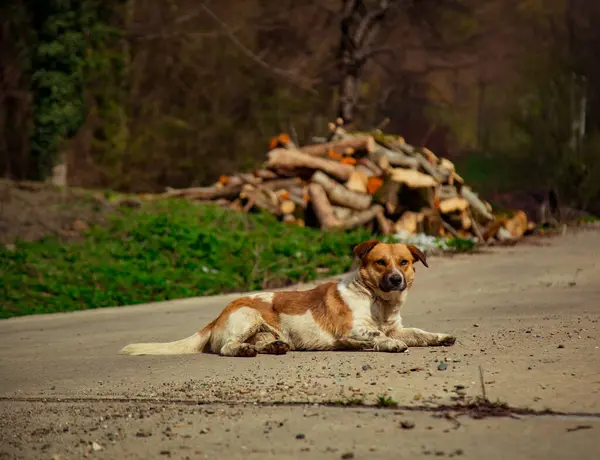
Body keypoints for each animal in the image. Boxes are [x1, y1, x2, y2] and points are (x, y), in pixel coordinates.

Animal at [119, 239, 458, 358]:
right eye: (380, 263)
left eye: (404, 262)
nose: (396, 279)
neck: (379, 302)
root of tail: (217, 316)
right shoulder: (352, 329)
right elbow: (377, 336)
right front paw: (389, 345)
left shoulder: (398, 327)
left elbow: (419, 333)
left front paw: (440, 336)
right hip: (249, 317)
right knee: (227, 347)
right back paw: (243, 351)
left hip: (264, 331)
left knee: (261, 343)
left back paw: (272, 347)